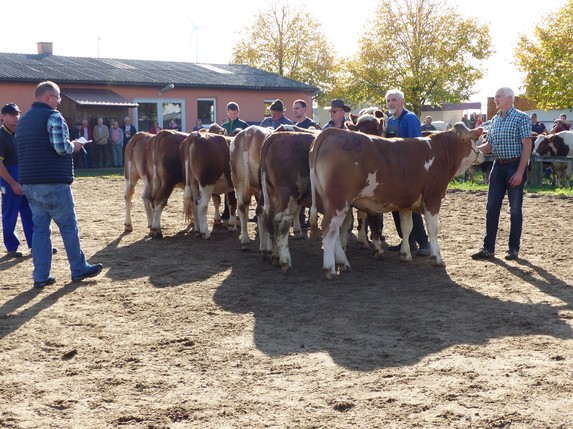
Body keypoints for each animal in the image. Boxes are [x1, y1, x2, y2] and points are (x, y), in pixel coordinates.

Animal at [308, 122, 482, 280]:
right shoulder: (432, 198)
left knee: (335, 231)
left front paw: (405, 254)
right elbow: (433, 229)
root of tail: (331, 132)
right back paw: (330, 268)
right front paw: (437, 258)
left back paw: (343, 263)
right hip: (339, 201)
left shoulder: (406, 203)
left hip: (330, 202)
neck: (440, 153)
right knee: (329, 228)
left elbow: (407, 227)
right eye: (476, 138)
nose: (482, 153)